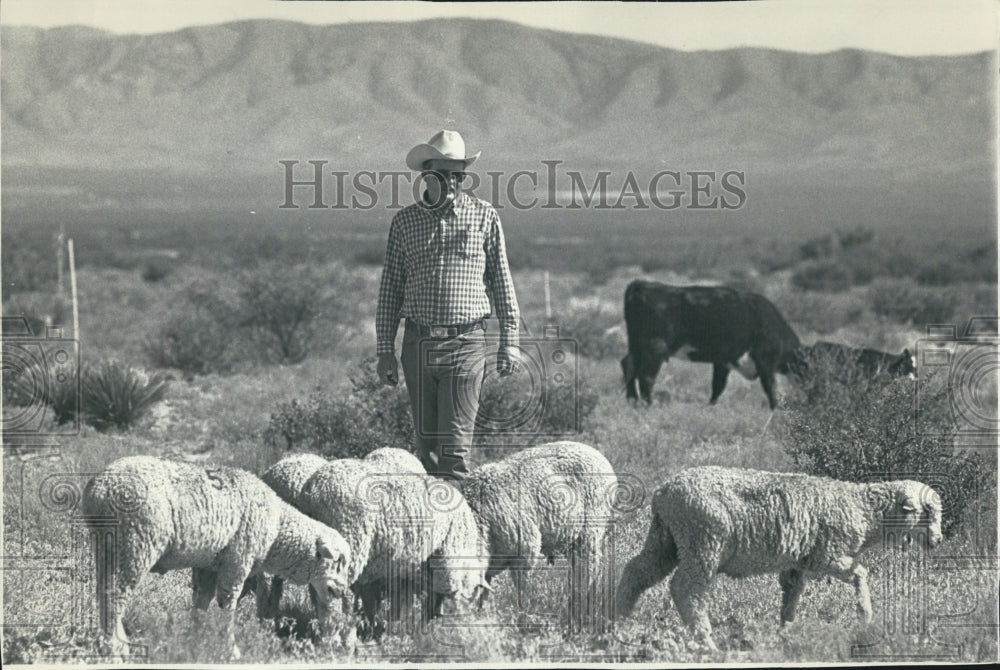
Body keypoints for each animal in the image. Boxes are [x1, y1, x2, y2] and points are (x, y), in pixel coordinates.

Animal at [83, 456, 356, 660]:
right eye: (339, 562)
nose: (342, 591)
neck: (277, 529)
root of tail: (98, 488)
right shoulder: (237, 560)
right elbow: (228, 604)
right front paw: (229, 649)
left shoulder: (210, 564)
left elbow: (201, 601)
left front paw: (195, 639)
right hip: (134, 544)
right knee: (115, 595)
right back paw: (114, 648)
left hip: (107, 547)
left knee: (104, 591)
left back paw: (114, 643)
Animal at [264, 448, 486, 636]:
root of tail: (313, 489)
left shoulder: (402, 569)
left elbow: (398, 602)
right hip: (349, 544)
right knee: (331, 598)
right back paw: (336, 635)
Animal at [458, 440, 616, 632]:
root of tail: (595, 452)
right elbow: (485, 591)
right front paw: (483, 615)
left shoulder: (525, 551)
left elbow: (522, 588)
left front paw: (522, 616)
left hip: (590, 530)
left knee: (590, 569)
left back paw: (580, 606)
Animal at [616, 468, 944, 652]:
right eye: (927, 511)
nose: (939, 541)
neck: (864, 510)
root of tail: (663, 492)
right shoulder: (828, 556)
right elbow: (861, 573)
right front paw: (865, 614)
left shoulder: (798, 564)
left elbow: (791, 597)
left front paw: (785, 634)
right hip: (702, 540)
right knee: (686, 589)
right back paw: (706, 642)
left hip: (666, 538)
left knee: (637, 572)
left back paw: (616, 620)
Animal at [620, 280, 800, 410]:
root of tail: (641, 284)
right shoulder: (766, 360)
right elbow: (770, 386)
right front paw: (775, 409)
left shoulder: (723, 361)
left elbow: (718, 386)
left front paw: (710, 406)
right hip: (656, 347)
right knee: (646, 376)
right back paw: (649, 405)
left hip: (636, 344)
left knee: (628, 364)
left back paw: (632, 401)